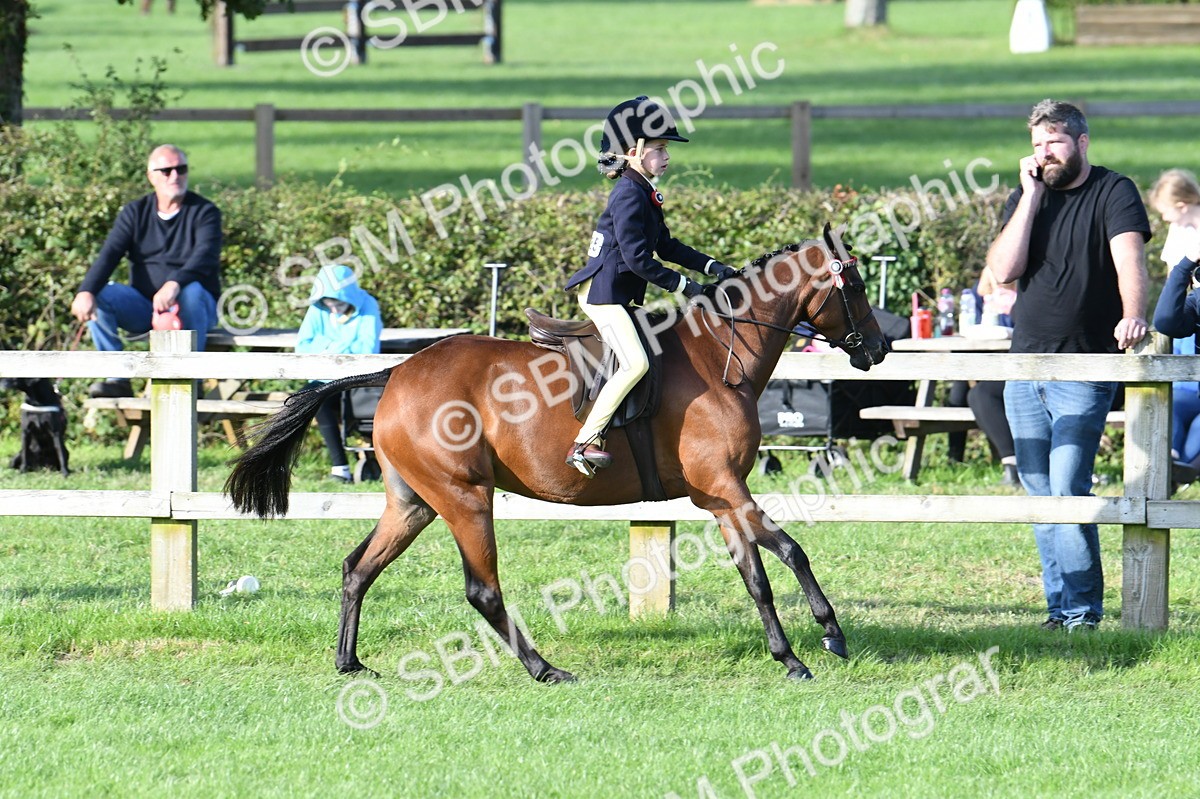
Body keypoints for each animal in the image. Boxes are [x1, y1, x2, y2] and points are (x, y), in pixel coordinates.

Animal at [225, 224, 889, 682]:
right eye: (854, 286)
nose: (880, 349)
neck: (718, 355)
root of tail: (398, 372)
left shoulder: (720, 498)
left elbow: (757, 576)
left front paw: (789, 657)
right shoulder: (727, 487)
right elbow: (793, 551)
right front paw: (830, 635)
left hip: (414, 502)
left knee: (358, 568)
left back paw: (350, 662)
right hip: (465, 498)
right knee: (482, 591)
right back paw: (544, 669)